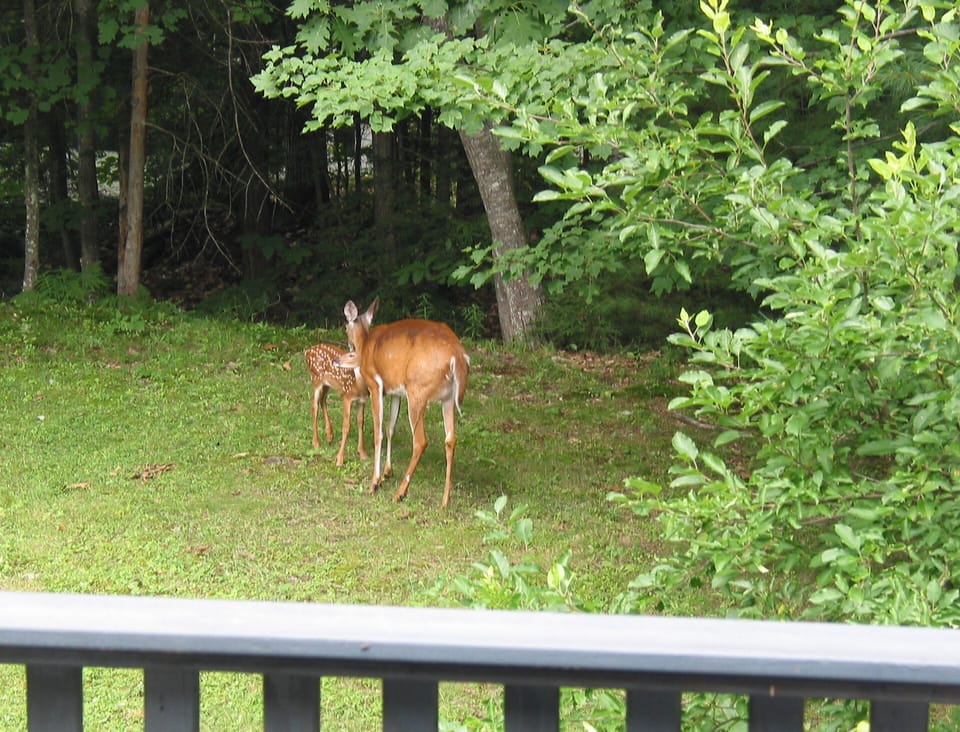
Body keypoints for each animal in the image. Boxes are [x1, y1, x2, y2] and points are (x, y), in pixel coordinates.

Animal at [335, 298, 470, 508]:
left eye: (345, 325)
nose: (349, 345)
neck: (366, 346)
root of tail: (458, 357)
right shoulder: (395, 392)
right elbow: (390, 428)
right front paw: (387, 472)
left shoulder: (375, 384)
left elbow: (379, 432)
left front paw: (375, 482)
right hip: (447, 398)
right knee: (450, 439)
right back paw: (444, 500)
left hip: (417, 390)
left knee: (421, 441)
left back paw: (400, 493)